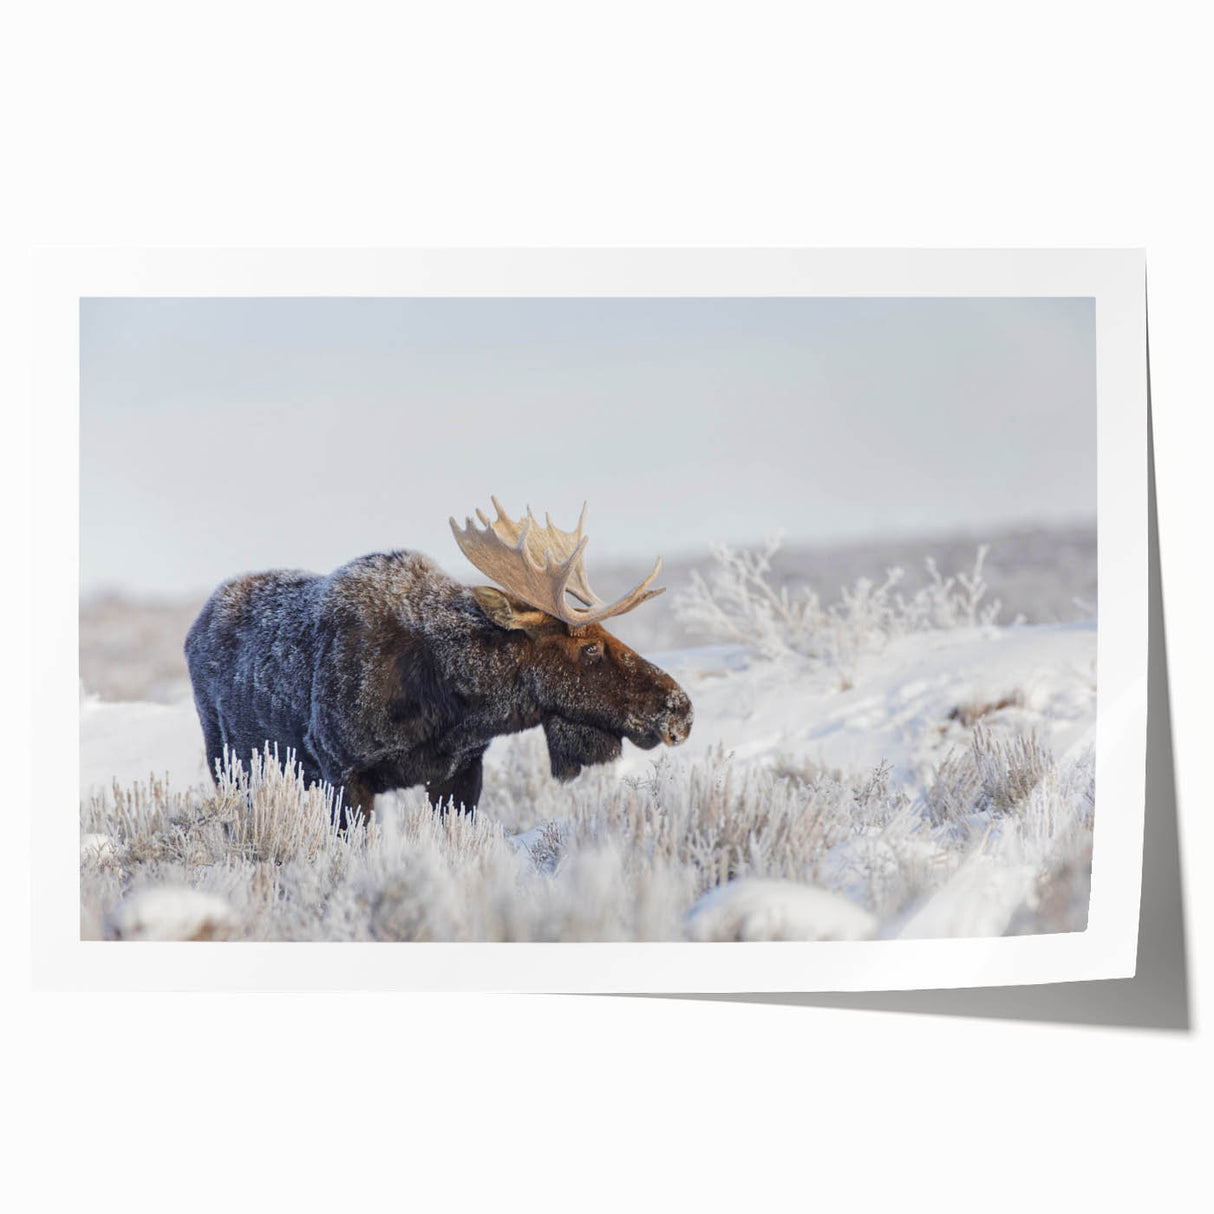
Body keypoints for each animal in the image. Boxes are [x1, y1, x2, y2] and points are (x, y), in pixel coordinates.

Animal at [184, 499, 693, 826]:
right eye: (589, 648)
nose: (680, 710)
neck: (450, 702)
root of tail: (194, 628)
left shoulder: (461, 772)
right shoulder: (343, 772)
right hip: (229, 765)